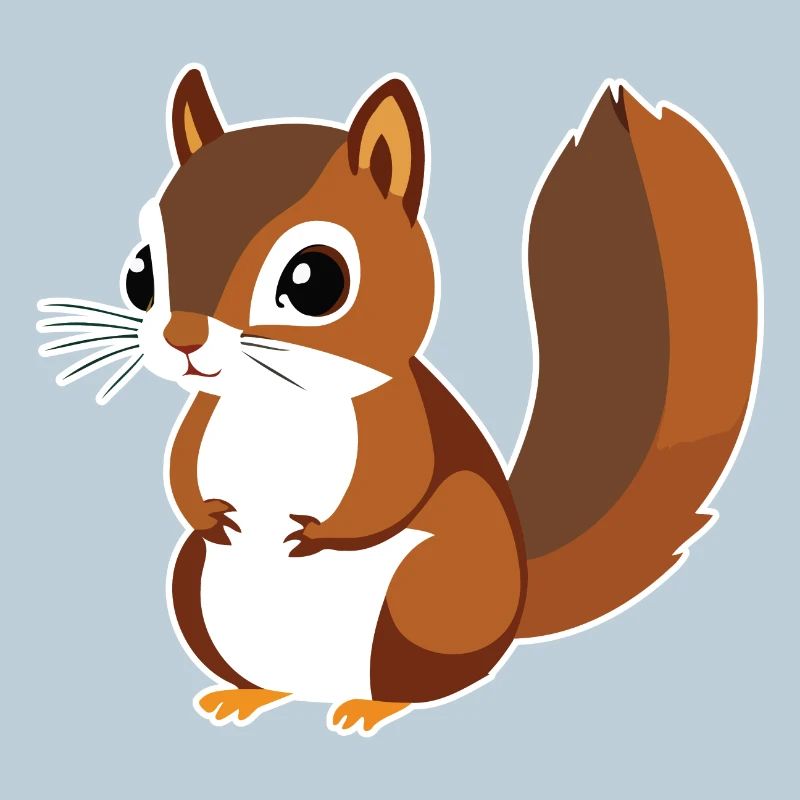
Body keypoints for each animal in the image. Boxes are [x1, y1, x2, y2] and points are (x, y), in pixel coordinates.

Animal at [37, 65, 760, 736]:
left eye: (315, 280)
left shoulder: (399, 422)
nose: (182, 337)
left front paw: (316, 534)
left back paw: (370, 707)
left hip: (428, 597)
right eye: (140, 271)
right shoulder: (204, 421)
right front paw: (210, 515)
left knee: (417, 681)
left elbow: (391, 488)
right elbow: (181, 472)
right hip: (196, 589)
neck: (274, 403)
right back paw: (247, 694)